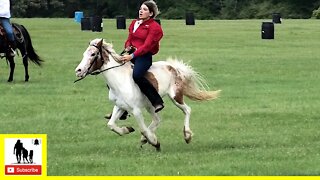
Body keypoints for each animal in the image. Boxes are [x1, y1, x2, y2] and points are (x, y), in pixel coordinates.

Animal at [74, 39, 220, 150]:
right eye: (84, 53)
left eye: (93, 54)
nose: (78, 71)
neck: (120, 80)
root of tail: (173, 67)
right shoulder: (119, 106)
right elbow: (111, 125)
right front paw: (127, 129)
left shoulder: (136, 110)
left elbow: (142, 129)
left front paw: (155, 142)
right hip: (151, 105)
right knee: (157, 120)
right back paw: (146, 138)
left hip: (175, 97)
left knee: (187, 110)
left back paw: (187, 136)